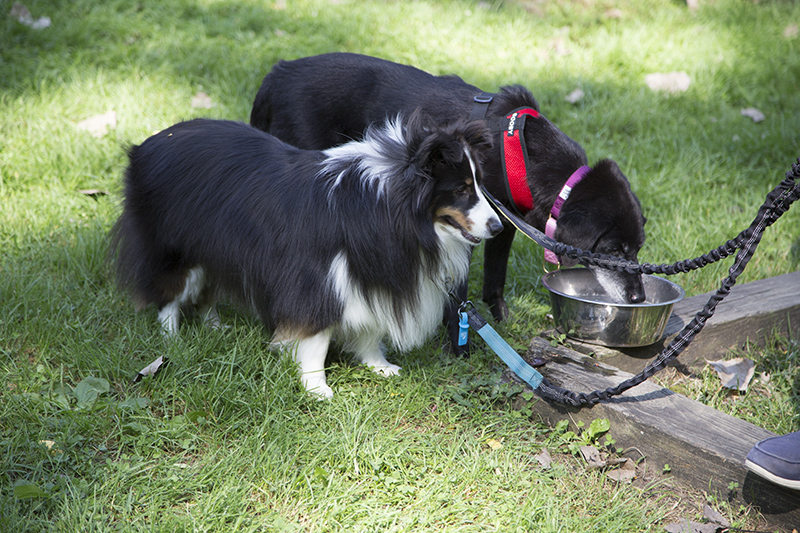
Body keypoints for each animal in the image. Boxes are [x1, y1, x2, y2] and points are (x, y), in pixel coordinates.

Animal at [250, 52, 648, 350]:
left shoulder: (501, 224)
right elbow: (458, 288)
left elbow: (495, 278)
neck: (524, 155)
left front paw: (500, 320)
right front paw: (459, 341)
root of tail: (275, 74)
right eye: (613, 251)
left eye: (638, 249)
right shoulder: (465, 222)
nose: (639, 300)